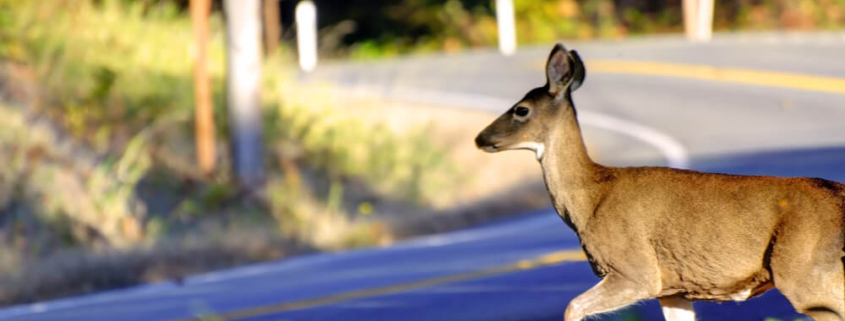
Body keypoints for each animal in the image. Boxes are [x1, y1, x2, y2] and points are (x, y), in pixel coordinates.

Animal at [474, 43, 844, 320]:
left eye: (521, 109)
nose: (480, 138)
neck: (591, 196)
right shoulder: (675, 289)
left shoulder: (635, 270)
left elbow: (571, 307)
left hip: (806, 273)